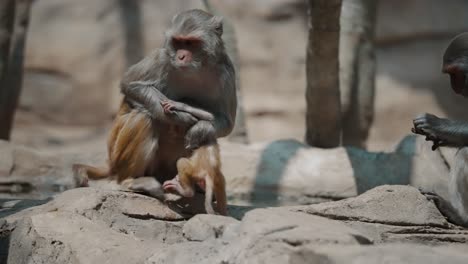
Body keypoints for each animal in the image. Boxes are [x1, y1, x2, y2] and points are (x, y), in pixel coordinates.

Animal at [73, 8, 238, 199]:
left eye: (191, 43)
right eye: (178, 42)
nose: (181, 56)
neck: (195, 68)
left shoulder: (226, 72)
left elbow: (225, 123)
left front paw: (197, 129)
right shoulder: (162, 57)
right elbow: (131, 84)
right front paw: (179, 117)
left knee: (208, 136)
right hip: (118, 154)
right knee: (144, 117)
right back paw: (132, 180)